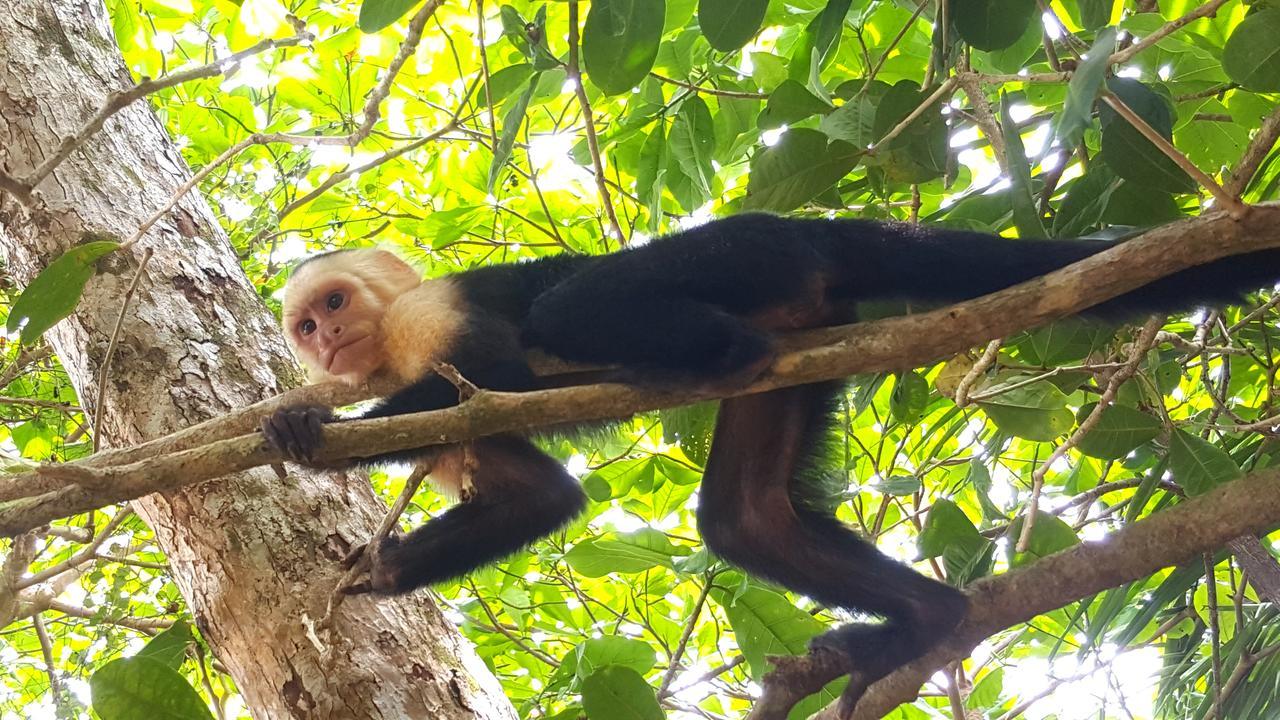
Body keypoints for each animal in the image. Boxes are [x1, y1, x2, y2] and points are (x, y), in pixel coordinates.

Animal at [259, 211, 1280, 707]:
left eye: (336, 304)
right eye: (307, 325)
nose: (326, 342)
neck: (390, 349)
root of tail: (812, 223)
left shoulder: (428, 323)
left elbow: (504, 368)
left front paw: (304, 435)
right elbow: (540, 499)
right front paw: (384, 568)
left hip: (746, 250)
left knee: (571, 310)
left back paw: (699, 352)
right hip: (803, 323)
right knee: (744, 519)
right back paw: (927, 619)